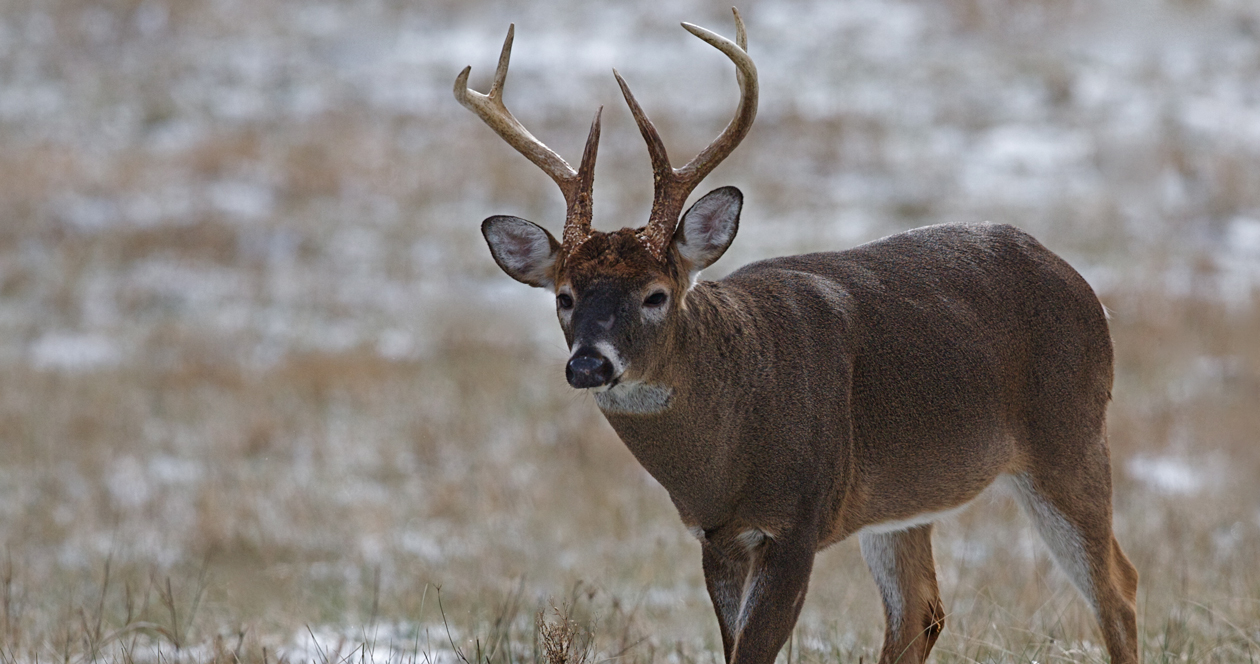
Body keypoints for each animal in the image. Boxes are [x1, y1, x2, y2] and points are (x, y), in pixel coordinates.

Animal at [456, 10, 1144, 664]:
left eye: (656, 294)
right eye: (564, 297)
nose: (589, 365)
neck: (728, 441)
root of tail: (1085, 287)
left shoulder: (799, 516)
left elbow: (753, 652)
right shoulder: (717, 535)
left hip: (1070, 435)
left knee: (1119, 585)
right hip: (906, 496)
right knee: (921, 612)